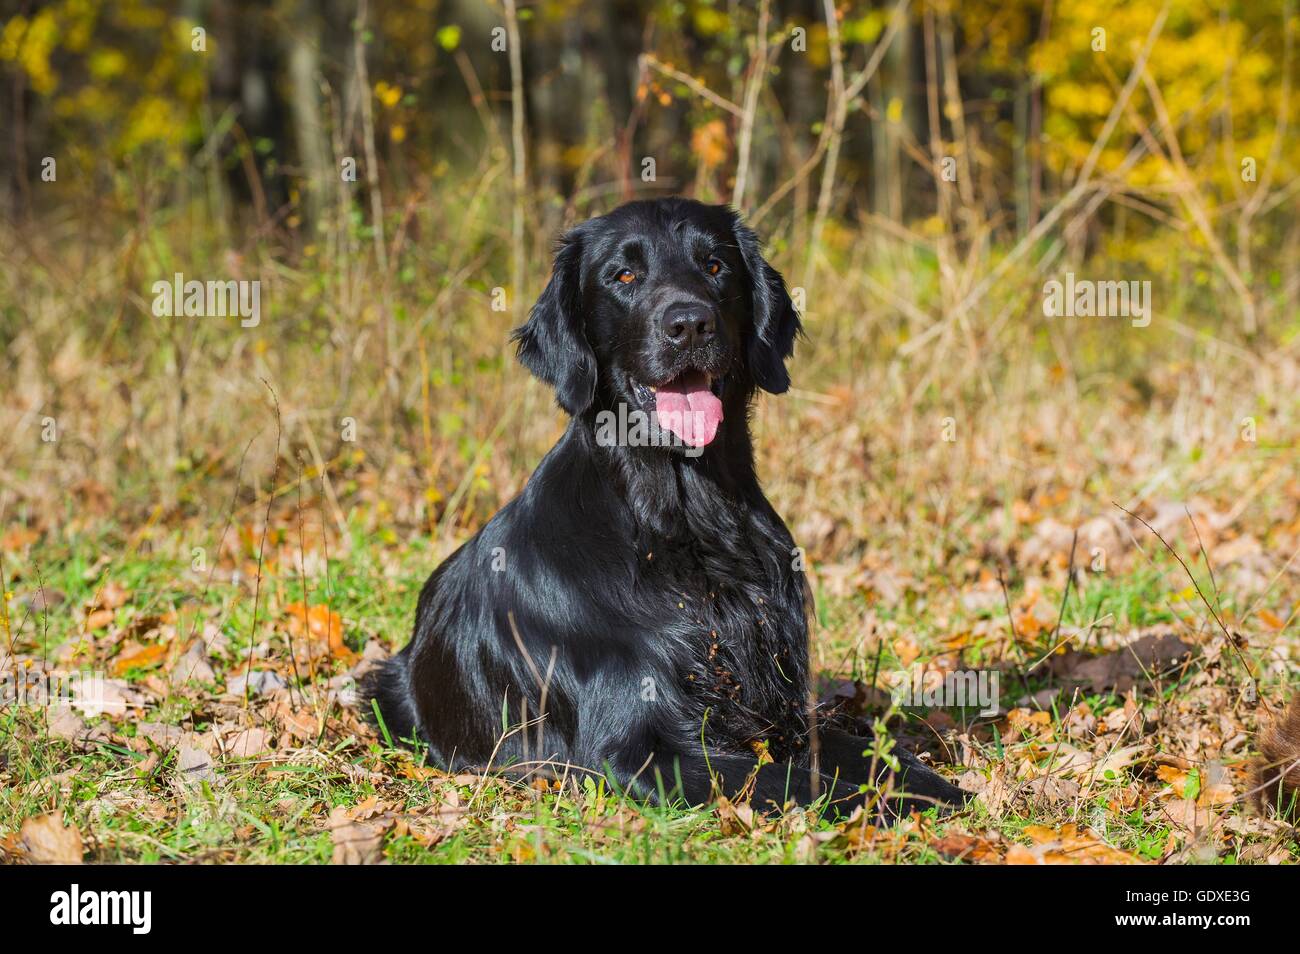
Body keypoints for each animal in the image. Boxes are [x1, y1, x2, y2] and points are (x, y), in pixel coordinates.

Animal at [369, 197, 967, 816]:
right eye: (624, 276)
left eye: (714, 266)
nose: (690, 324)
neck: (688, 518)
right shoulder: (641, 753)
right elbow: (801, 783)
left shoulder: (782, 714)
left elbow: (874, 748)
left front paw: (939, 787)